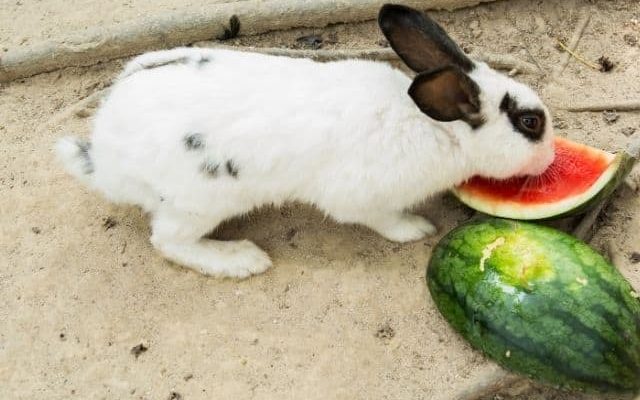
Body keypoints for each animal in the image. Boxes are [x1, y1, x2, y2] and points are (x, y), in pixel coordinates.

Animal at [55, 4, 555, 278]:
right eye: (530, 122)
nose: (552, 158)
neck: (435, 126)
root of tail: (104, 158)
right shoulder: (361, 199)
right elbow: (384, 221)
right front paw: (417, 229)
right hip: (199, 202)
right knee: (167, 242)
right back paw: (240, 260)